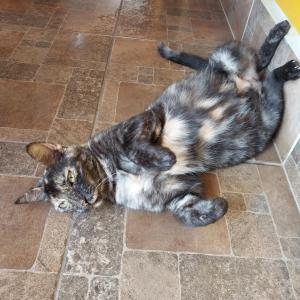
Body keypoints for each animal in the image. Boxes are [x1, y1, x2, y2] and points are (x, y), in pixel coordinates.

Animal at [15, 21, 300, 226]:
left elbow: (134, 147)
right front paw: (218, 207)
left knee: (260, 61)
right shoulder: (173, 194)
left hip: (225, 57)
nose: (84, 201)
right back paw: (286, 69)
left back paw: (281, 33)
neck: (112, 177)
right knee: (270, 77)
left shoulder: (147, 118)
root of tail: (247, 83)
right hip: (268, 115)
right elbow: (184, 214)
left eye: (70, 178)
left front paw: (165, 159)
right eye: (63, 205)